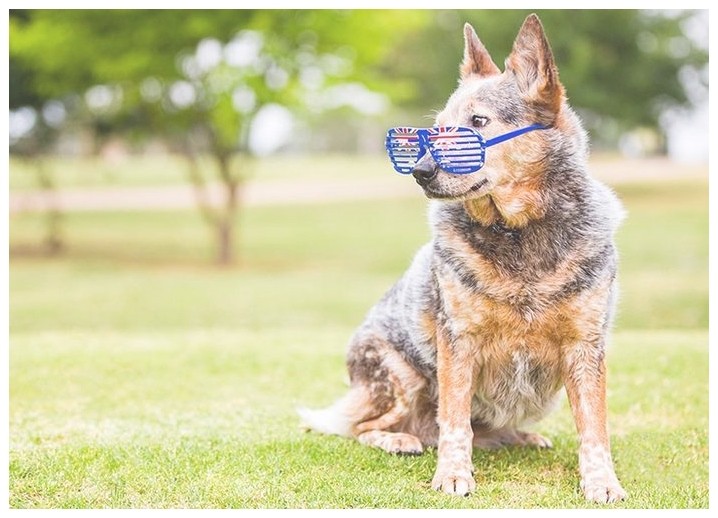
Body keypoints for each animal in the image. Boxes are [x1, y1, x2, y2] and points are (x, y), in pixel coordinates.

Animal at [300, 14, 628, 506]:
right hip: (400, 377)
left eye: (477, 122)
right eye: (436, 129)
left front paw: (602, 481)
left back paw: (519, 437)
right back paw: (400, 439)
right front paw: (453, 475)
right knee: (362, 427)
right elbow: (454, 422)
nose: (419, 171)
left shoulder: (584, 346)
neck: (519, 234)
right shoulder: (458, 341)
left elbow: (594, 427)